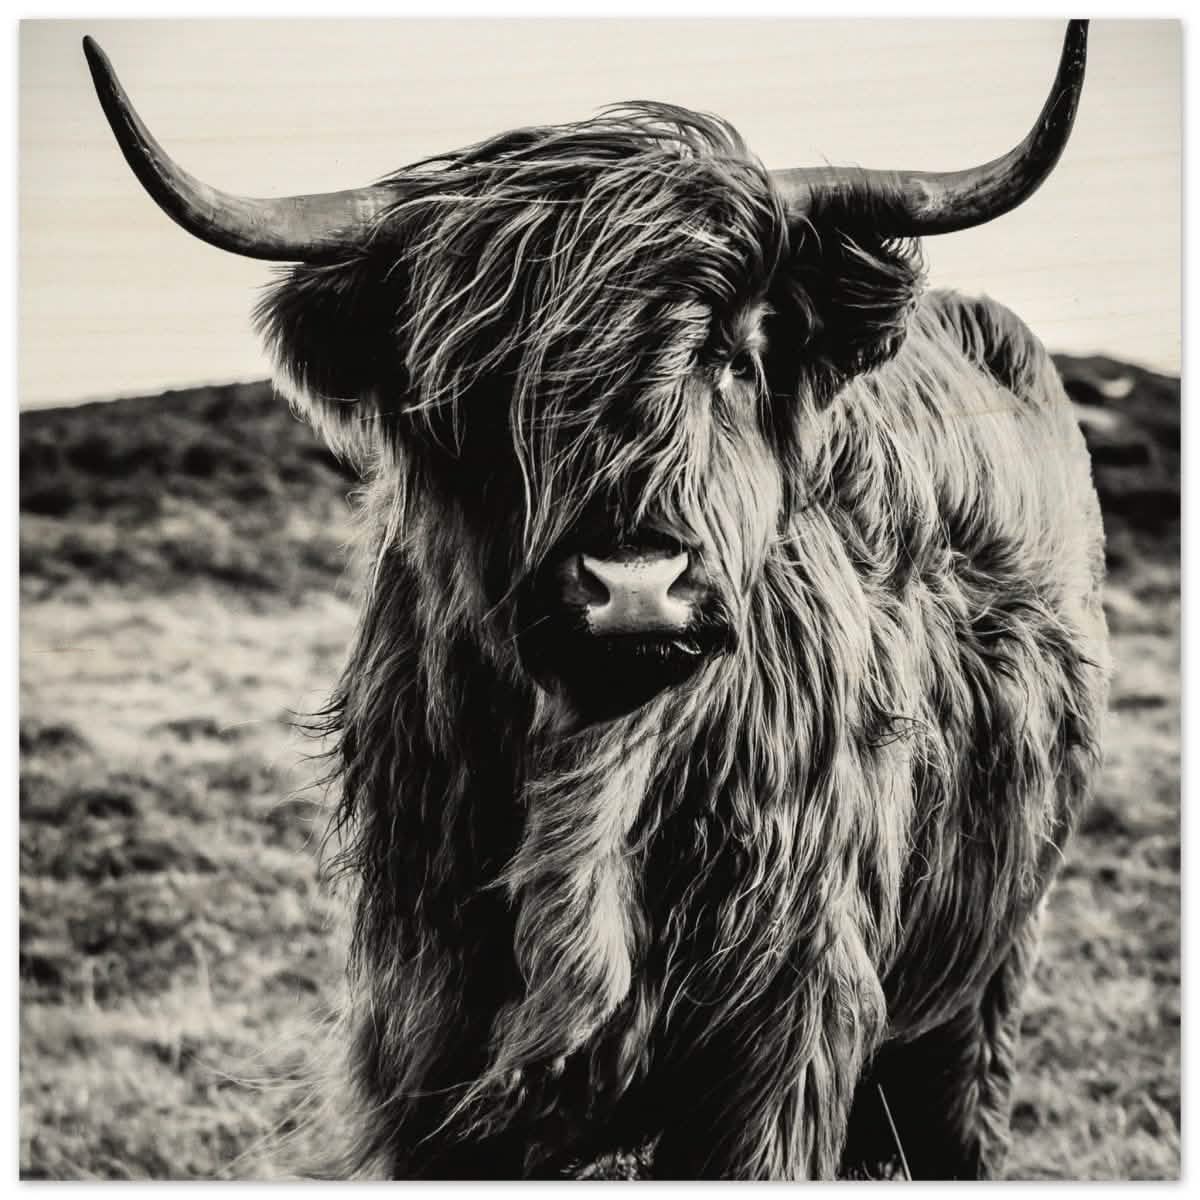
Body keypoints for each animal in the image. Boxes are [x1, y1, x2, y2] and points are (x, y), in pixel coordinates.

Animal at [84, 21, 1109, 1180]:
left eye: (732, 354)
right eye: (481, 384)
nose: (635, 587)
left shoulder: (780, 1041)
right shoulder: (430, 1040)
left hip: (987, 974)